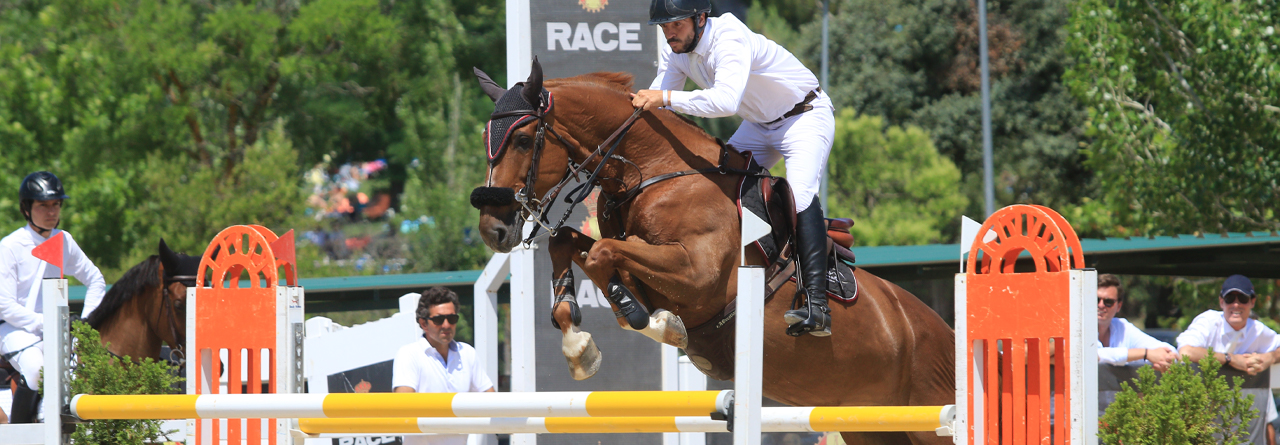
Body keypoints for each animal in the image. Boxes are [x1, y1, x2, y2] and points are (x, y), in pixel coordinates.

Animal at [476, 60, 957, 445]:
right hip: (872, 426)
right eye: (486, 138)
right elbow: (573, 245)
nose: (492, 229)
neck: (653, 172)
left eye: (523, 140)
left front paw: (646, 318)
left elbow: (606, 255)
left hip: (929, 419)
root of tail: (945, 332)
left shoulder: (698, 274)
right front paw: (582, 341)